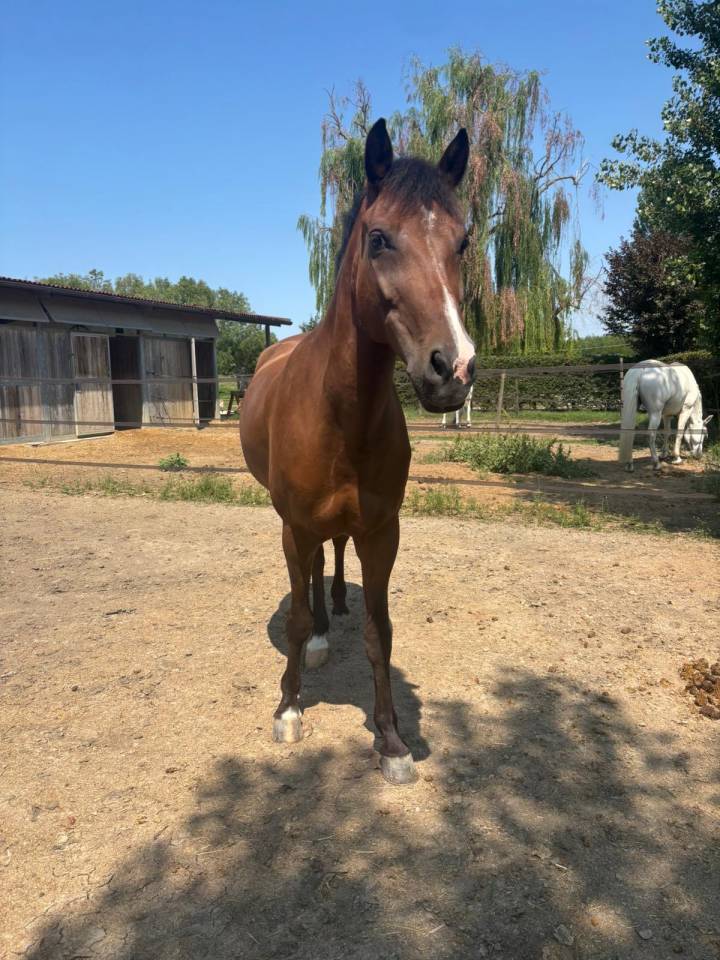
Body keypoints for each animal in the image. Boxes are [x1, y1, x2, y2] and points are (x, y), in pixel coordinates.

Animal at [240, 118, 475, 785]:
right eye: (378, 238)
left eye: (464, 242)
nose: (453, 369)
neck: (339, 411)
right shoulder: (294, 524)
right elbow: (296, 617)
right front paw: (288, 709)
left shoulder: (381, 531)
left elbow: (380, 632)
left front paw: (392, 740)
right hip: (292, 525)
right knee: (313, 571)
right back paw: (320, 636)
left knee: (334, 555)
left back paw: (335, 610)